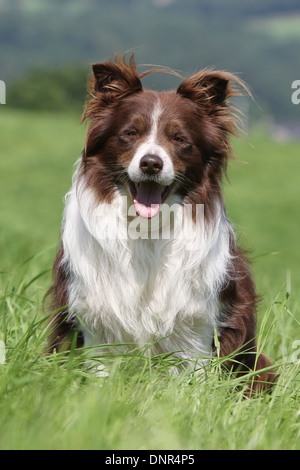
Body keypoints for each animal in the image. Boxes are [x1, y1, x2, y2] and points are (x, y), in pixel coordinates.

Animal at [47, 55, 276, 392]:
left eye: (179, 139)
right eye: (130, 134)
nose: (151, 164)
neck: (147, 232)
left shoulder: (196, 324)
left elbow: (193, 378)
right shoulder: (95, 319)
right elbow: (99, 371)